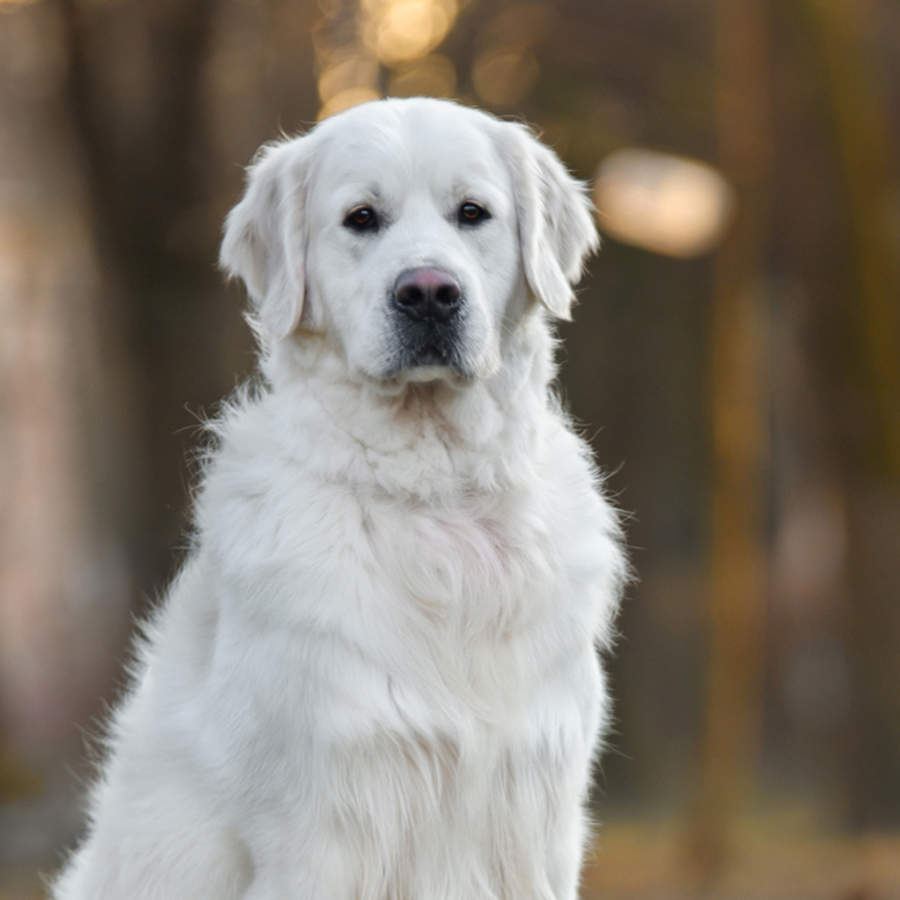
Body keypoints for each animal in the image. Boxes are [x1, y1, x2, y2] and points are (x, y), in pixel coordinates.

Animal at [51, 98, 624, 900]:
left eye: (472, 213)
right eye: (361, 218)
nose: (428, 293)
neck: (433, 492)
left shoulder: (538, 818)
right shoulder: (322, 827)